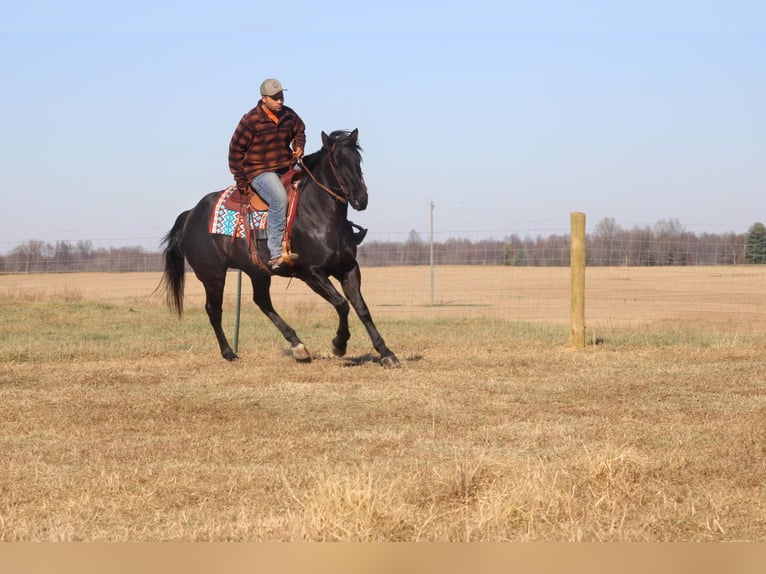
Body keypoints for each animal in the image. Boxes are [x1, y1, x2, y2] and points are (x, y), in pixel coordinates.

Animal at [160, 129, 402, 368]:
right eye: (336, 161)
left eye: (357, 160)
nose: (361, 199)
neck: (319, 214)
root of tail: (191, 214)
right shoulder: (311, 273)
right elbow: (342, 304)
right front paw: (338, 345)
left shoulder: (349, 268)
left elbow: (362, 308)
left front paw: (386, 352)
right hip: (213, 275)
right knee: (214, 310)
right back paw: (229, 353)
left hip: (256, 272)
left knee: (262, 302)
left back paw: (298, 347)